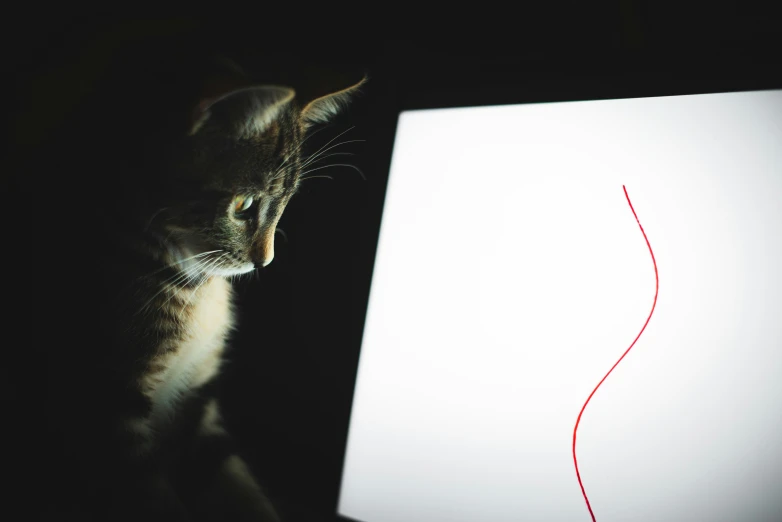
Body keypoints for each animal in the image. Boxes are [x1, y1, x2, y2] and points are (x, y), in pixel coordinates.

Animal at [44, 44, 370, 520]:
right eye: (244, 205)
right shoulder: (110, 413)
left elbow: (233, 479)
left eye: (285, 203)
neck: (193, 287)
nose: (265, 260)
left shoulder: (196, 400)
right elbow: (152, 496)